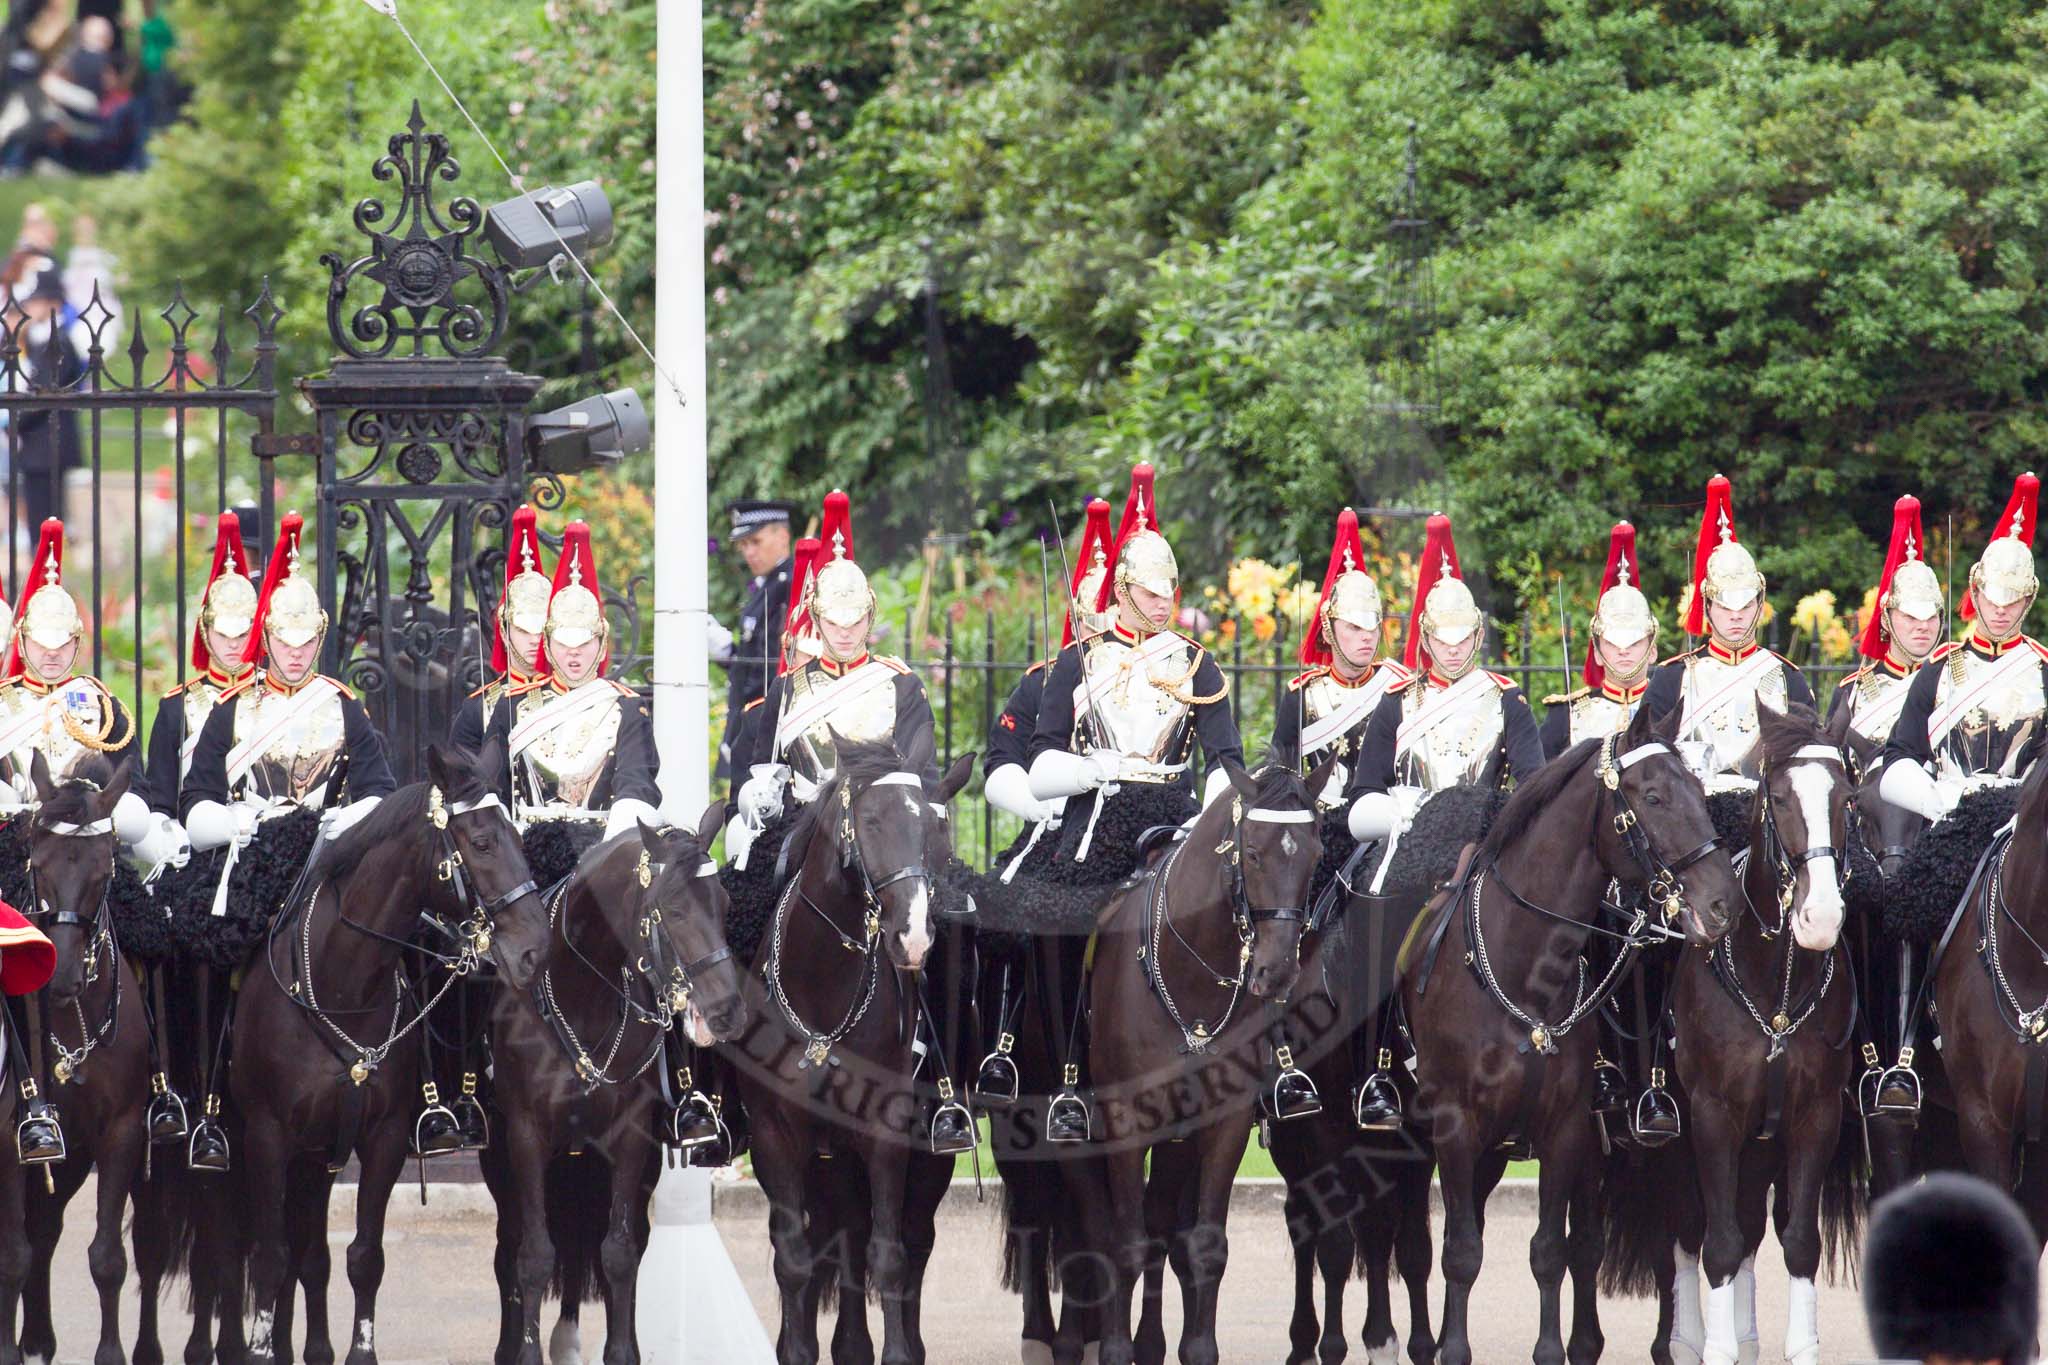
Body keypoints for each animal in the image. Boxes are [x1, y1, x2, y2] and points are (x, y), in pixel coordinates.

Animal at [483, 802, 757, 1365]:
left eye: (722, 903)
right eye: (673, 910)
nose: (727, 1013)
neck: (581, 999)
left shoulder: (631, 1137)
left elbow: (619, 1252)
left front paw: (623, 1350)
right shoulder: (525, 1137)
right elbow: (534, 1255)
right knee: (509, 1249)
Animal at [733, 740, 978, 1365]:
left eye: (938, 831)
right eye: (870, 823)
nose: (912, 938)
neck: (823, 990)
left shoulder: (886, 1131)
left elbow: (888, 1254)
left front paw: (897, 1352)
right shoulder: (774, 1137)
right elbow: (795, 1260)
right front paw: (797, 1349)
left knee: (909, 1238)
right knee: (843, 1231)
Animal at [1073, 765, 1327, 1365]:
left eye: (1315, 852)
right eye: (1252, 852)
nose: (1276, 972)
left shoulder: (1224, 1122)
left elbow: (1205, 1244)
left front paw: (1196, 1347)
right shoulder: (1124, 1121)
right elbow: (1125, 1240)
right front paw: (1115, 1349)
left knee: (1164, 1220)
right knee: (1105, 1227)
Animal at [1409, 703, 1744, 1365]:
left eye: (1701, 793)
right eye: (1653, 796)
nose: (1723, 904)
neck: (1524, 968)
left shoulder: (1566, 1132)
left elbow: (1550, 1252)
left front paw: (1551, 1349)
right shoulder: (1456, 1127)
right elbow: (1461, 1251)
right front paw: (1453, 1350)